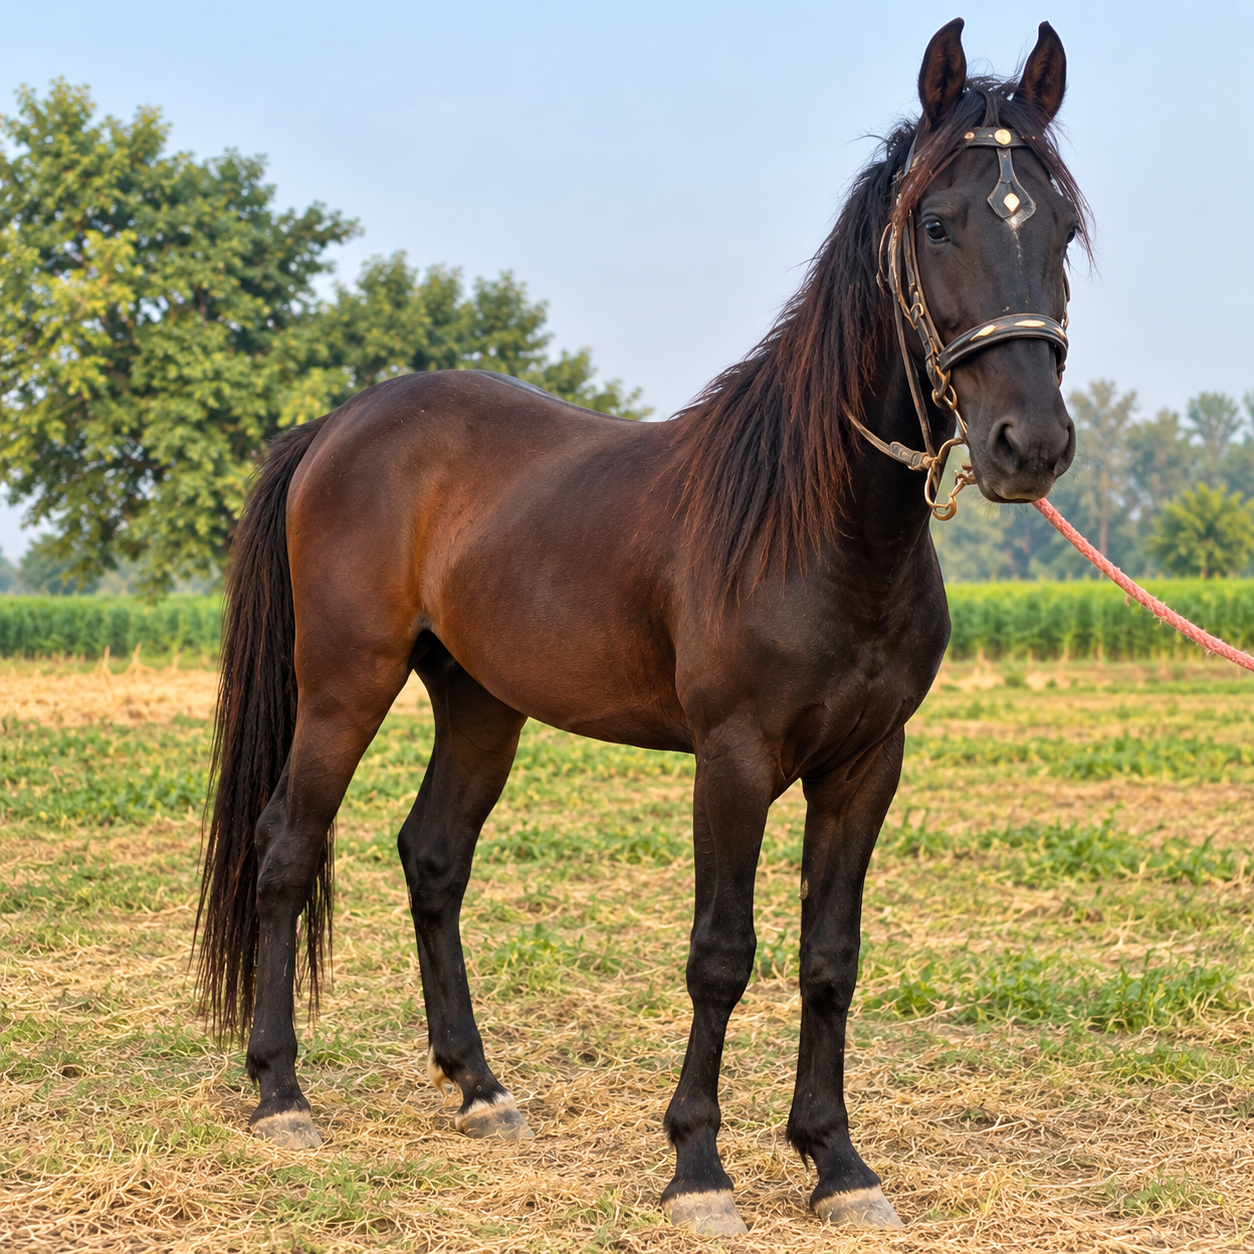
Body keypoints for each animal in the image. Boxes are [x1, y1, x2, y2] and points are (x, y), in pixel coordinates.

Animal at [196, 18, 1085, 1235]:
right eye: (938, 221)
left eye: (1063, 225)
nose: (1028, 445)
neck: (818, 524)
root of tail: (340, 423)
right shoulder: (734, 759)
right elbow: (722, 954)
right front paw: (699, 1169)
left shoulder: (866, 765)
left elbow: (830, 958)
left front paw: (838, 1164)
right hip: (344, 680)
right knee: (286, 846)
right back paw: (281, 1095)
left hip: (480, 703)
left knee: (433, 858)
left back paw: (479, 1088)